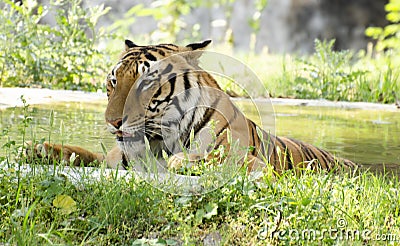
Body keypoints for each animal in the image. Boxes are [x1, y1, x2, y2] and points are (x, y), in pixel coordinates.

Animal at [26, 39, 360, 175]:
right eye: (113, 81)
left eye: (145, 83)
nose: (113, 122)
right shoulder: (112, 159)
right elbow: (82, 153)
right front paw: (40, 149)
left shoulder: (254, 164)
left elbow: (216, 158)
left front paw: (181, 162)